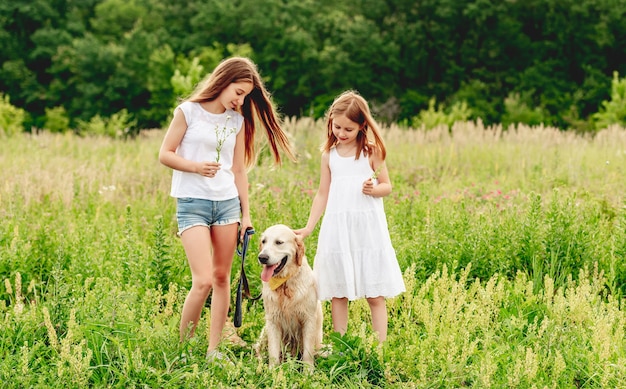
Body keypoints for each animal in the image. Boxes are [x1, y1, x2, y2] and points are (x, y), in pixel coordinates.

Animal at [254, 224, 322, 366]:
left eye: (279, 242)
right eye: (264, 241)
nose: (262, 257)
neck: (285, 284)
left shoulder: (308, 319)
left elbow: (307, 354)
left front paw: (308, 371)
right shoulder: (273, 321)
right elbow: (273, 353)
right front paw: (272, 370)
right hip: (265, 331)